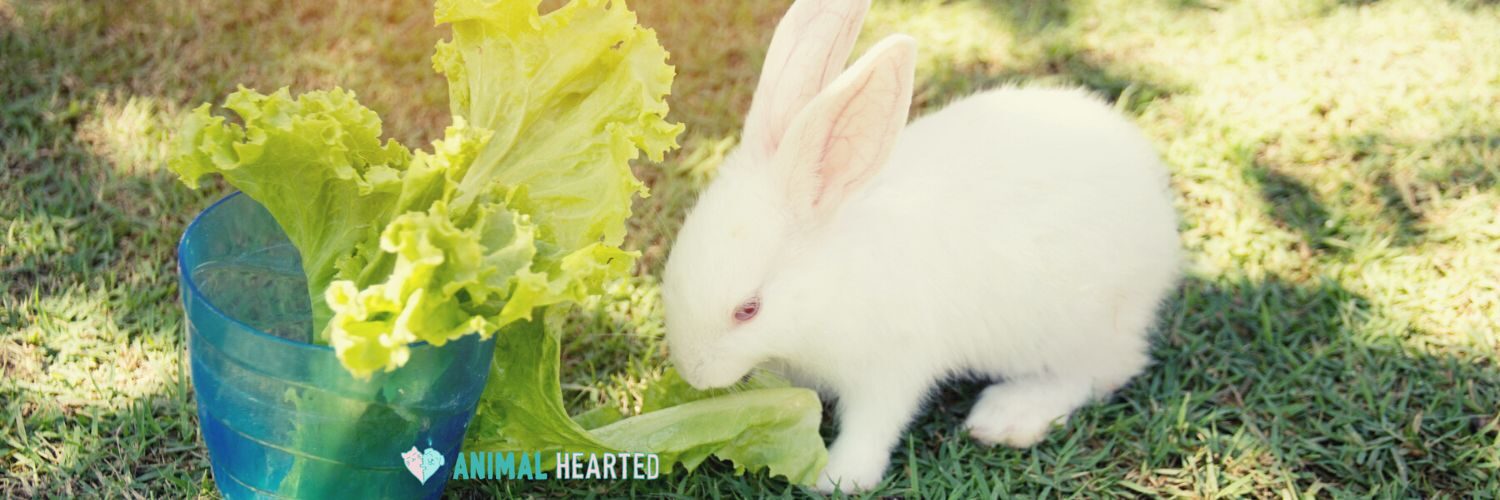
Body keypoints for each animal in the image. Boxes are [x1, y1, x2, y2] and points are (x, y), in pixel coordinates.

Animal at [661, 0, 1182, 492]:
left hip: (1072, 328)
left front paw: (838, 478)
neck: (828, 283)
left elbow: (874, 425)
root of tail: (1158, 211)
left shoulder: (891, 366)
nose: (693, 373)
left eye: (748, 310)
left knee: (1102, 371)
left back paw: (1007, 416)